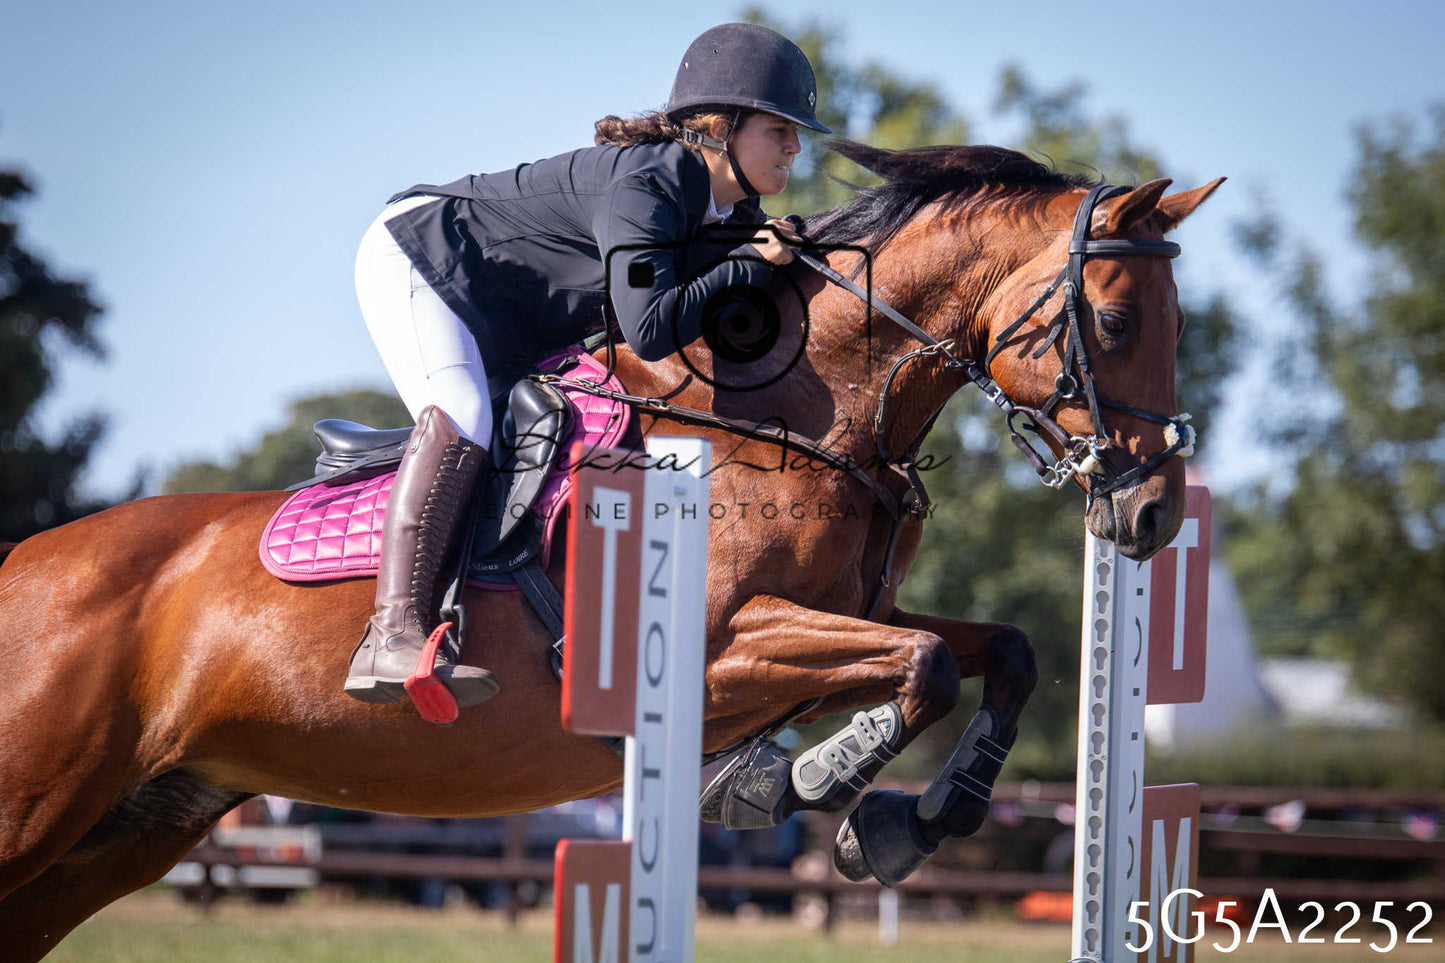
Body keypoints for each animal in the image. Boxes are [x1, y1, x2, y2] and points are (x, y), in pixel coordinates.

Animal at [0, 140, 1220, 958]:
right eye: (1116, 323)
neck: (790, 414)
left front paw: (903, 823)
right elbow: (917, 670)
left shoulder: (846, 619)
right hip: (40, 805)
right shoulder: (727, 646)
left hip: (138, 820)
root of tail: (20, 567)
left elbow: (999, 651)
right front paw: (800, 779)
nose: (1153, 515)